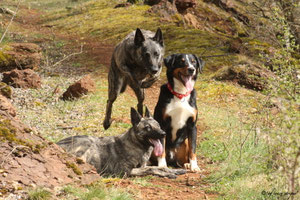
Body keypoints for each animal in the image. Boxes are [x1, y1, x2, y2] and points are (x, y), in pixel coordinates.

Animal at [56, 107, 185, 179]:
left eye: (158, 125)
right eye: (148, 128)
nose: (164, 134)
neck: (135, 144)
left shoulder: (141, 166)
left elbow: (160, 167)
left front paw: (174, 170)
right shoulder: (125, 171)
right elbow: (152, 169)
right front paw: (169, 174)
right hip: (87, 142)